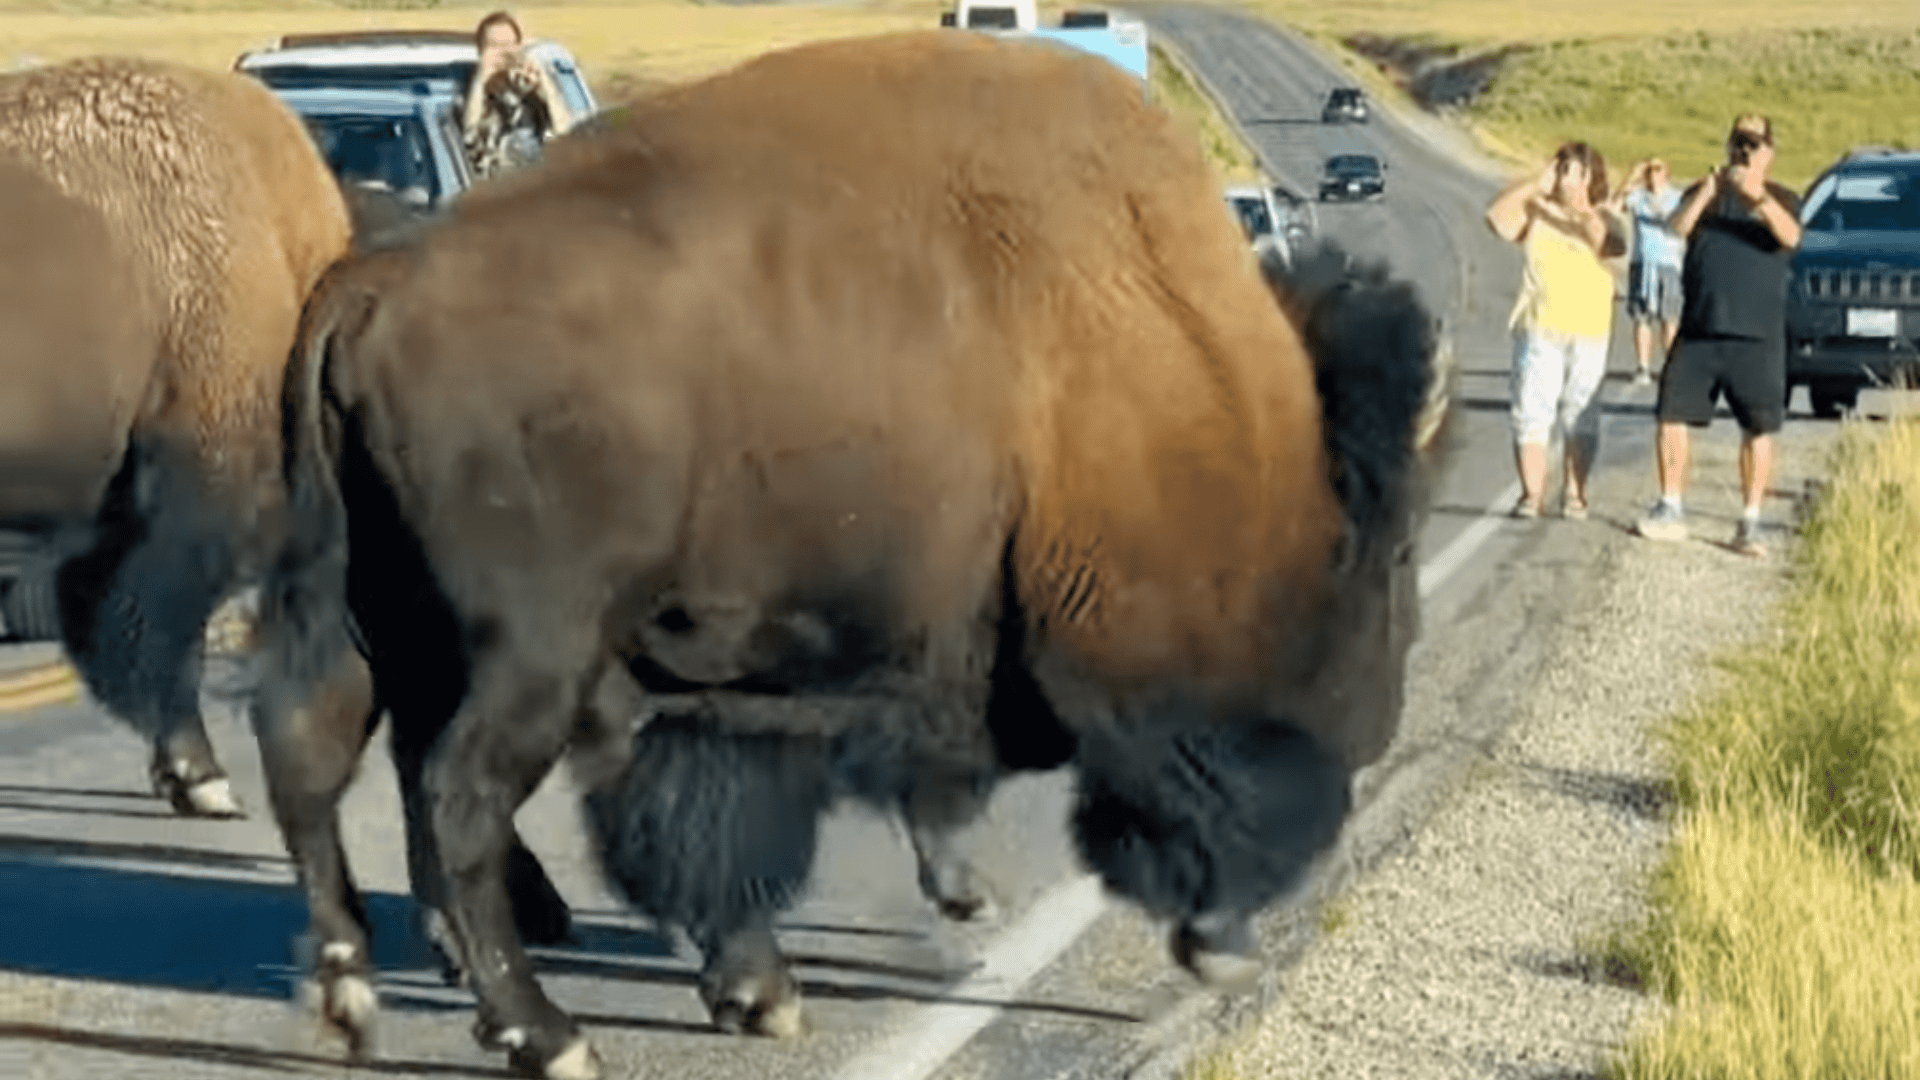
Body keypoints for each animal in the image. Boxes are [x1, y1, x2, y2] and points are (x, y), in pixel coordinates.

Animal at [253, 29, 1452, 1079]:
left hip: (380, 616)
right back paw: (544, 1035)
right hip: (521, 651)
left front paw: (762, 988)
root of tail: (375, 286)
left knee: (323, 755)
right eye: (1386, 557)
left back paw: (355, 991)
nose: (1379, 718)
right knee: (453, 793)